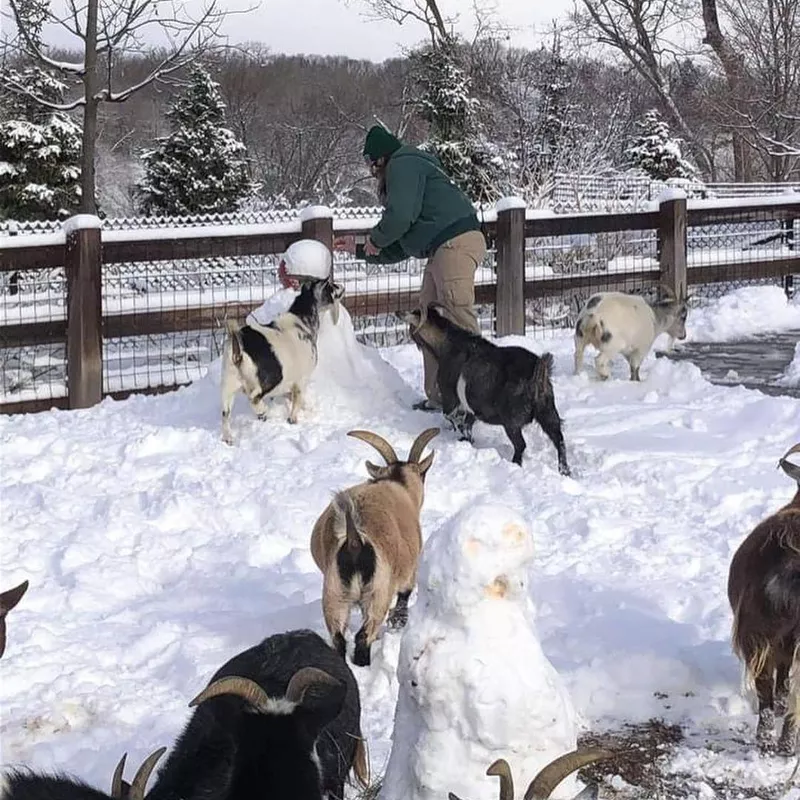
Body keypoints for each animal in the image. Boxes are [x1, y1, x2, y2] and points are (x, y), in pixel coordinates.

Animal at [220, 278, 342, 444]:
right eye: (330, 285)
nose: (342, 287)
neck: (302, 320)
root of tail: (239, 347)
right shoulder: (301, 379)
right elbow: (297, 400)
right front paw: (293, 419)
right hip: (270, 379)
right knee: (254, 398)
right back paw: (263, 411)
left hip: (228, 386)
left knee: (225, 413)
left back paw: (228, 438)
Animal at [310, 428, 440, 664]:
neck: (398, 483)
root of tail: (354, 539)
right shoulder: (408, 572)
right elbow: (405, 594)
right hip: (378, 593)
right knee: (363, 635)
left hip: (334, 594)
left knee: (338, 637)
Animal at [404, 304, 572, 472]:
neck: (446, 343)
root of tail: (538, 371)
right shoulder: (472, 407)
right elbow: (468, 422)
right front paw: (466, 439)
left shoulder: (450, 396)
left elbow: (451, 416)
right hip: (548, 412)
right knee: (559, 440)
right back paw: (564, 470)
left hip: (511, 421)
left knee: (521, 445)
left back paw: (515, 464)